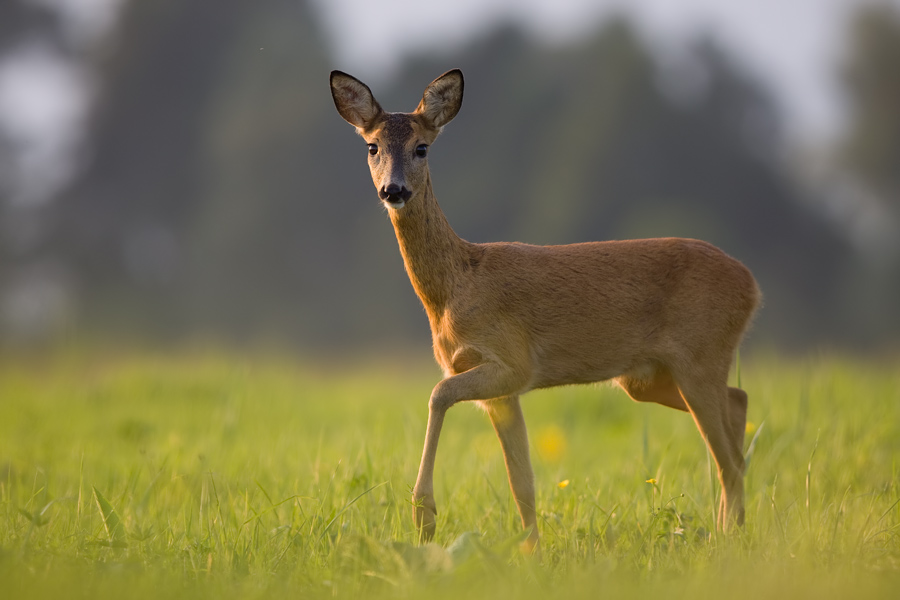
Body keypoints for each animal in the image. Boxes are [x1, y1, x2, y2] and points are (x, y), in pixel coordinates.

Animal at [330, 68, 760, 552]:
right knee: (738, 408)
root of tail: (752, 284)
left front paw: (424, 516)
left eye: (422, 147)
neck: (453, 289)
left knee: (729, 456)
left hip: (700, 355)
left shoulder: (512, 361)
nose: (394, 190)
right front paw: (530, 552)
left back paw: (729, 538)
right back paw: (728, 531)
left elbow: (438, 394)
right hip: (648, 378)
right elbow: (522, 483)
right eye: (372, 147)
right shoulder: (500, 392)